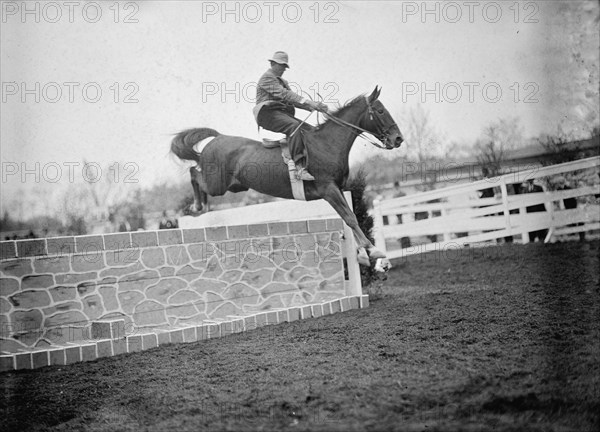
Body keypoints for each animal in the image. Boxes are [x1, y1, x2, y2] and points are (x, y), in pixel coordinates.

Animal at [170, 86, 404, 268]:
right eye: (381, 111)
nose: (398, 138)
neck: (327, 143)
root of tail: (217, 138)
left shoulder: (338, 188)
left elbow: (349, 216)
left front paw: (365, 254)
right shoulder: (328, 189)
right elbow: (350, 217)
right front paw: (373, 251)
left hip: (234, 186)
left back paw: (201, 207)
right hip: (216, 184)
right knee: (194, 173)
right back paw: (196, 206)